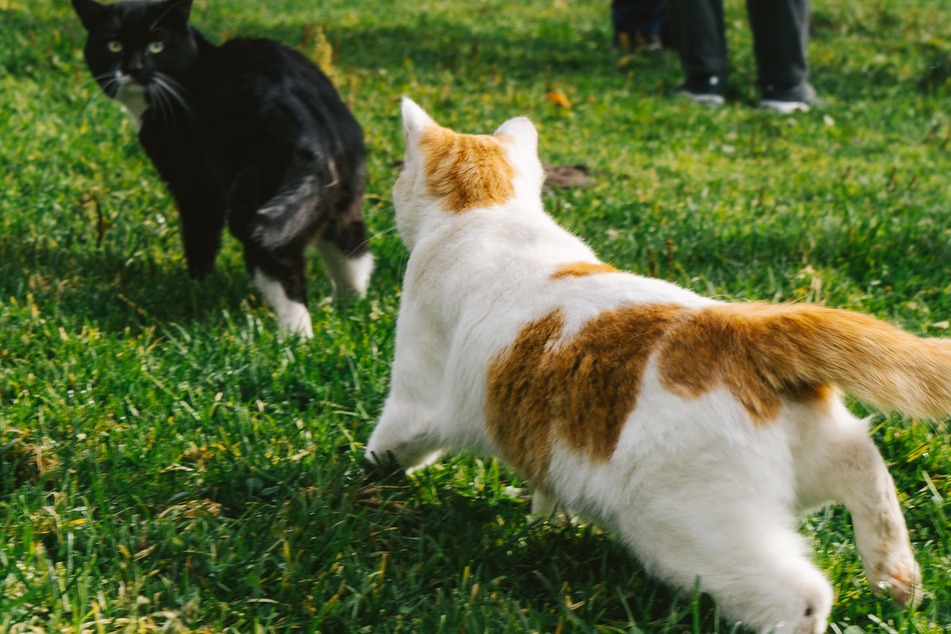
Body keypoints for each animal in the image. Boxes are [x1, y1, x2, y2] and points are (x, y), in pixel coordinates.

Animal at [70, 0, 374, 336]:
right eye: (114, 45)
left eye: (156, 45)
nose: (134, 68)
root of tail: (311, 137)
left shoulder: (196, 183)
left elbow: (200, 236)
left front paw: (197, 286)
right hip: (339, 200)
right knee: (355, 252)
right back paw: (349, 307)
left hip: (256, 208)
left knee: (283, 271)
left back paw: (294, 339)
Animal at [366, 96, 951, 628]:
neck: (486, 210)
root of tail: (739, 328)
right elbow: (545, 486)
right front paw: (545, 521)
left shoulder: (416, 394)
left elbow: (389, 443)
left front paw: (365, 481)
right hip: (813, 459)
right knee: (866, 465)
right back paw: (896, 577)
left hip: (684, 527)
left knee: (801, 595)